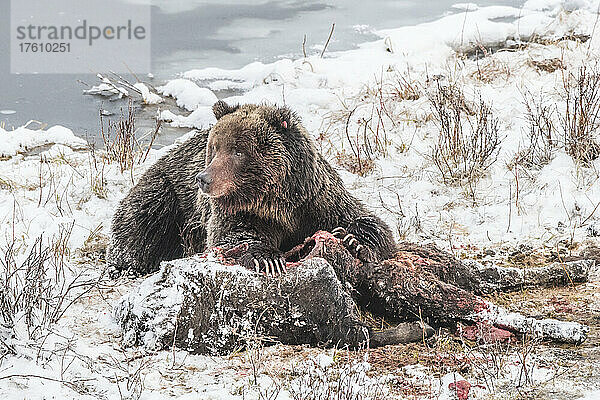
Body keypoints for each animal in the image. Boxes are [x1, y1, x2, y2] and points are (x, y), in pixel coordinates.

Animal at [108, 101, 398, 276]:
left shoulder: (318, 199)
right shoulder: (238, 210)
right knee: (142, 222)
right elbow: (233, 236)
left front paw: (354, 240)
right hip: (167, 194)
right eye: (214, 148)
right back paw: (126, 263)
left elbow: (366, 219)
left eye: (238, 151)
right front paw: (267, 258)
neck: (278, 202)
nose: (204, 179)